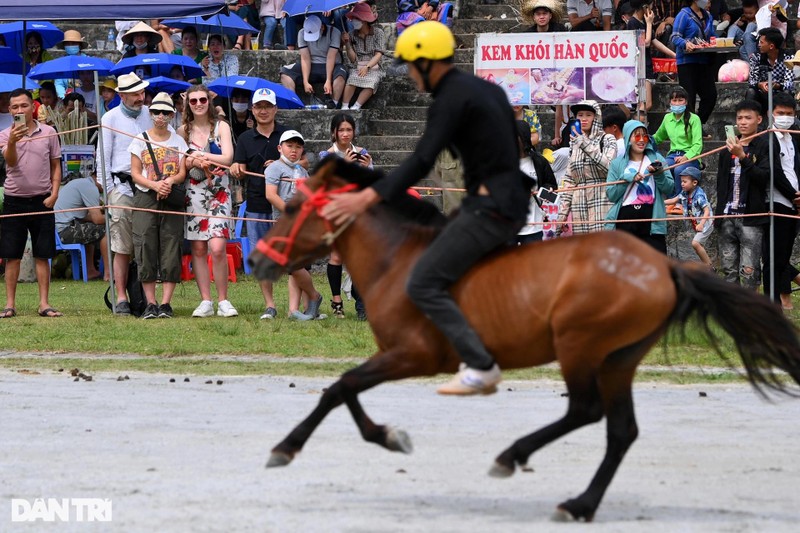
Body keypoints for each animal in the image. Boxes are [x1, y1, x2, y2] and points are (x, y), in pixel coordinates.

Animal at [248, 157, 800, 520]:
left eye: (291, 205)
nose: (255, 260)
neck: (396, 259)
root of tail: (664, 265)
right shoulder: (397, 355)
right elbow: (347, 390)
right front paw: (386, 436)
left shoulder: (412, 354)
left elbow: (340, 386)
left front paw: (288, 447)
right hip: (618, 358)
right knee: (620, 430)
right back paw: (580, 503)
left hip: (580, 346)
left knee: (585, 411)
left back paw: (514, 457)